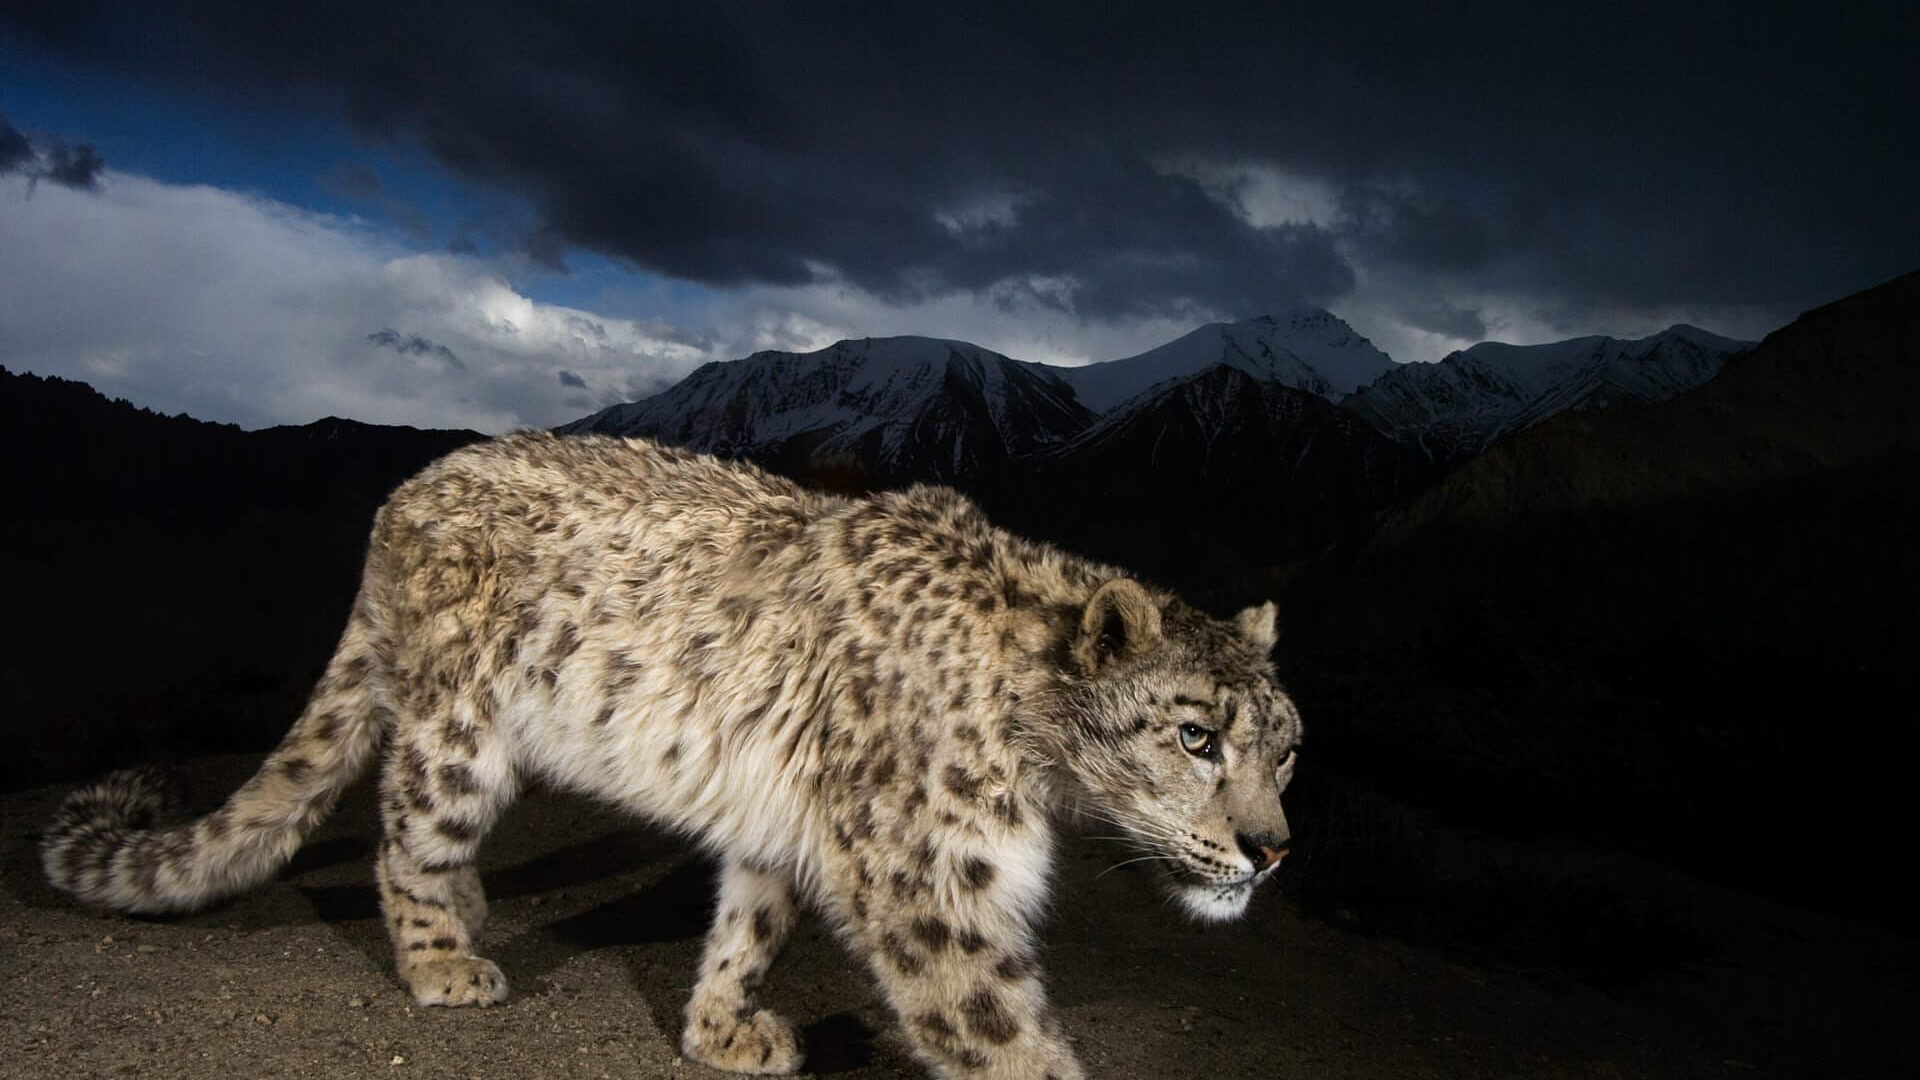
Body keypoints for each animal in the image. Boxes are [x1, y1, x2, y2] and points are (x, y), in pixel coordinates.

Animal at [42, 431, 1302, 1080]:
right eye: (1197, 737)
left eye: (1288, 750)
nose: (1272, 851)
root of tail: (400, 497)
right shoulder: (930, 884)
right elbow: (999, 1033)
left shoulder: (788, 822)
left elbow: (752, 921)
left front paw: (722, 1028)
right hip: (460, 736)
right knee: (404, 833)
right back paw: (445, 958)